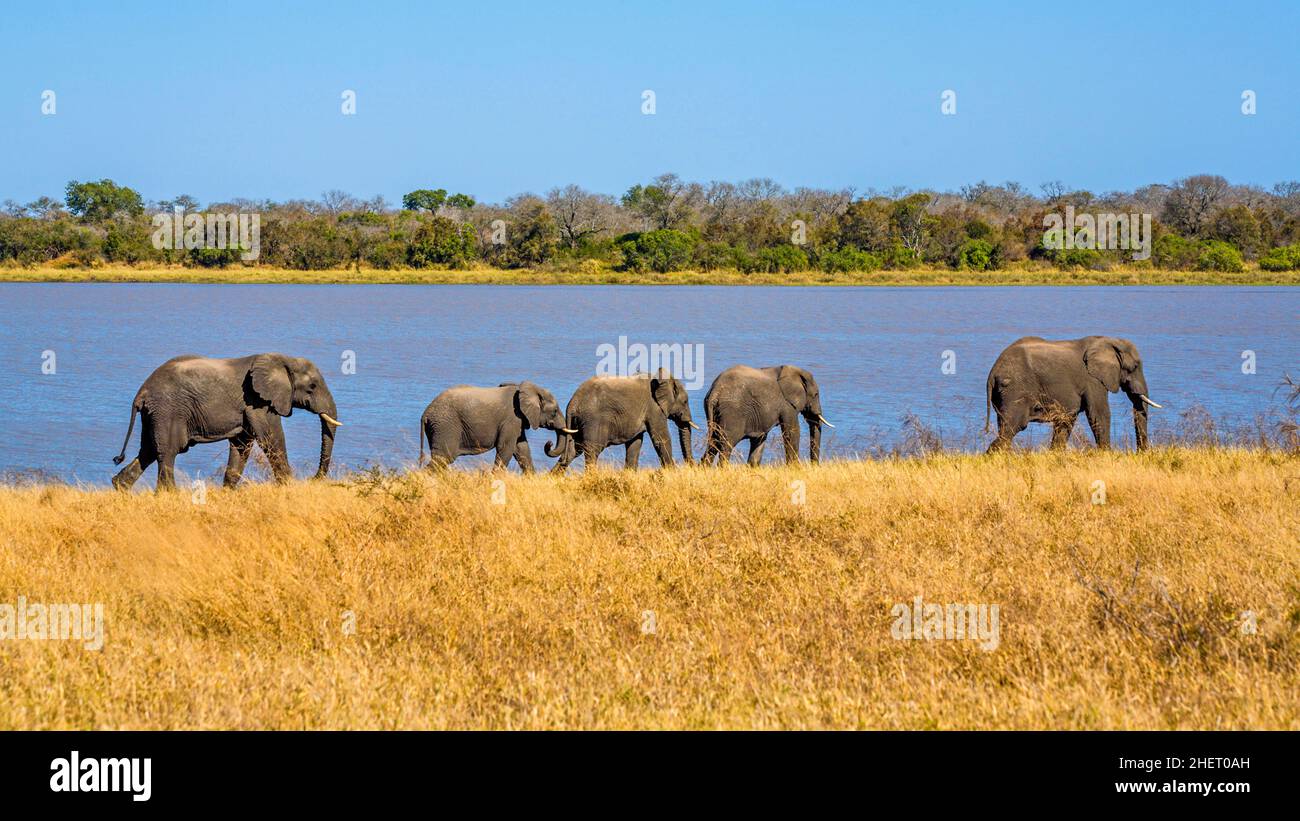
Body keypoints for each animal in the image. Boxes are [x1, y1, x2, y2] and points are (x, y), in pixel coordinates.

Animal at [112, 350, 343, 491]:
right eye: (312, 387)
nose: (313, 478)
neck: (283, 358)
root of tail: (141, 392)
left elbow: (242, 444)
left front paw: (228, 491)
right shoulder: (257, 400)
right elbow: (271, 437)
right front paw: (289, 485)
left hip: (153, 414)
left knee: (148, 450)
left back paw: (120, 487)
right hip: (168, 410)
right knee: (167, 451)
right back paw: (169, 494)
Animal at [421, 381, 574, 470]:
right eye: (555, 412)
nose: (549, 443)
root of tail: (425, 414)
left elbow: (522, 449)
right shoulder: (512, 419)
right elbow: (506, 448)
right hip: (445, 426)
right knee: (444, 458)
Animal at [546, 371, 696, 470]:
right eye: (685, 401)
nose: (692, 465)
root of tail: (573, 402)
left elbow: (635, 443)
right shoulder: (654, 408)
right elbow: (661, 439)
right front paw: (672, 473)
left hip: (577, 423)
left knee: (573, 451)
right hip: (593, 421)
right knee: (592, 451)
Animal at [702, 363, 832, 465]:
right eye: (816, 394)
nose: (814, 466)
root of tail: (715, 391)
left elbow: (760, 439)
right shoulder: (787, 404)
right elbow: (792, 431)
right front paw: (795, 468)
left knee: (713, 443)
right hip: (732, 413)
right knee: (726, 444)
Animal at [987, 332, 1164, 452]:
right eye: (1135, 367)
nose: (1141, 453)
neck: (1108, 340)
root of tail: (993, 371)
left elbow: (1067, 420)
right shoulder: (1092, 379)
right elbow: (1099, 414)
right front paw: (1107, 454)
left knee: (1004, 425)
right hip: (1015, 388)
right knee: (1013, 426)